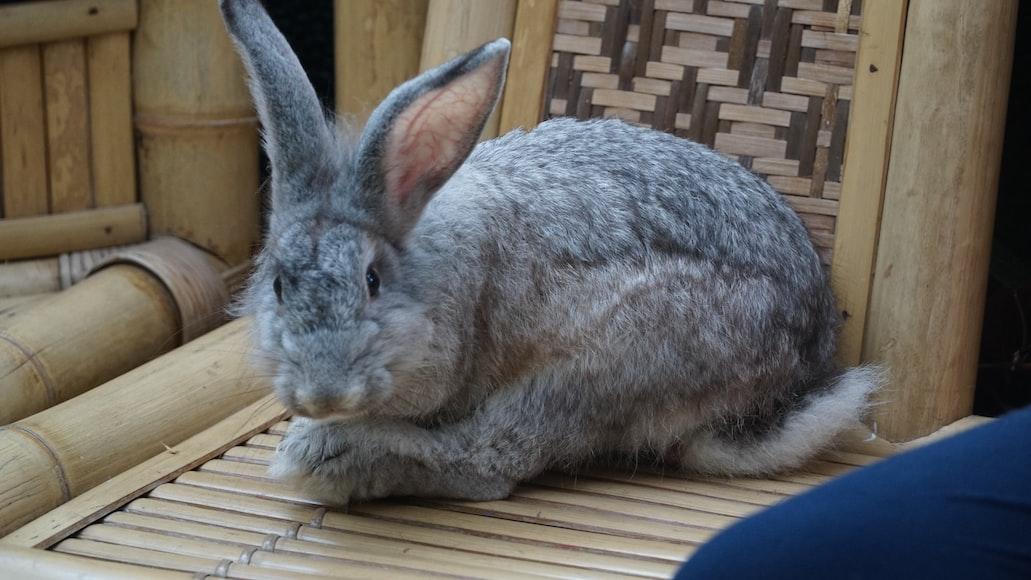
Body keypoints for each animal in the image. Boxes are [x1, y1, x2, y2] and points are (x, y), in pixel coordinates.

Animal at [221, 0, 880, 505]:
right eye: (278, 285)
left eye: (372, 280)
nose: (323, 395)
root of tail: (799, 367)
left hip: (603, 364)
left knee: (487, 463)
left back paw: (322, 462)